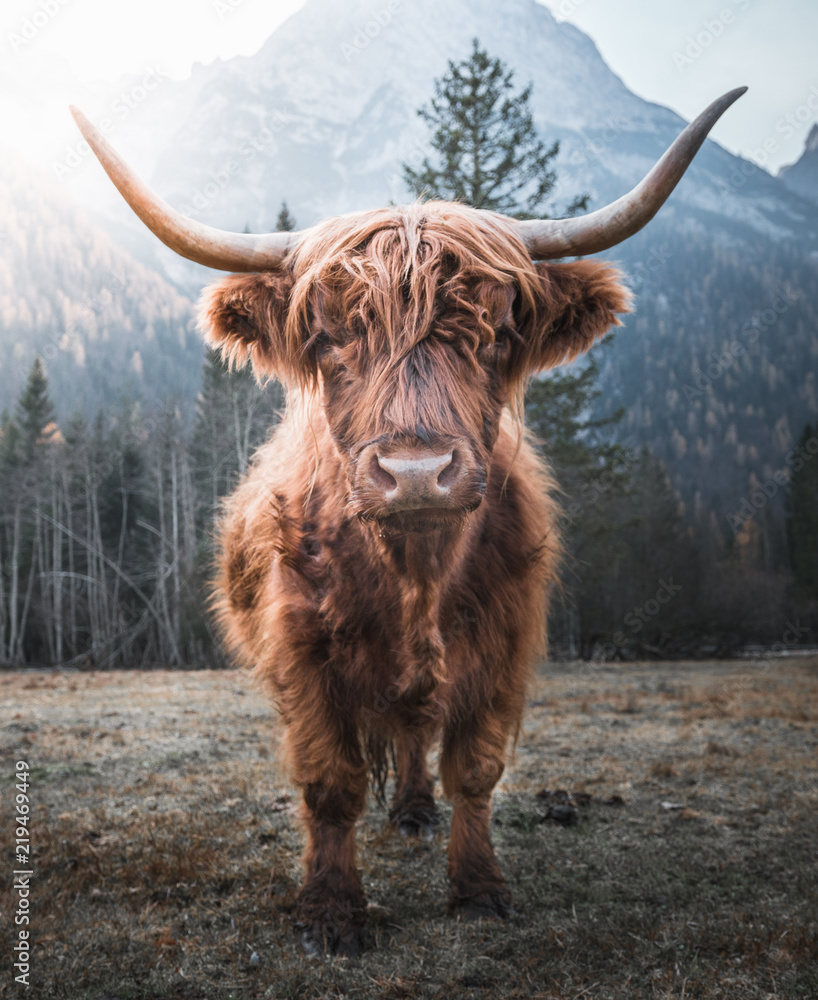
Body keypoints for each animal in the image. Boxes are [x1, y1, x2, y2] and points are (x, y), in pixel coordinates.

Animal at [73, 84, 744, 952]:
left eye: (496, 332)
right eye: (328, 336)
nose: (417, 473)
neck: (414, 574)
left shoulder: (502, 644)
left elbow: (476, 769)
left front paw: (479, 889)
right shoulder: (303, 651)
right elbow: (330, 782)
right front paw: (330, 911)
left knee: (417, 730)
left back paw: (417, 811)